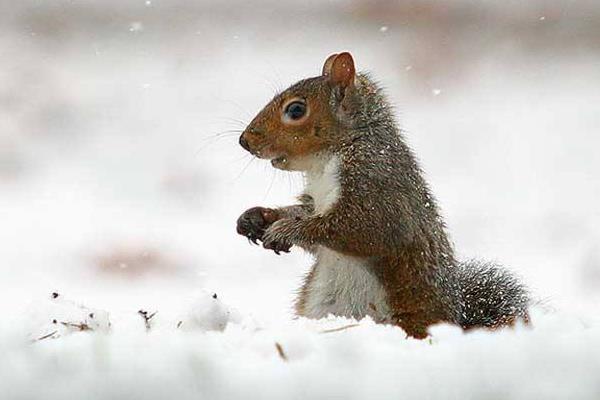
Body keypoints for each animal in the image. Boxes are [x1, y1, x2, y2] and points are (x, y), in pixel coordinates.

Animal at [236, 51, 528, 340]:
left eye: (296, 110)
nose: (244, 141)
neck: (327, 160)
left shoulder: (376, 184)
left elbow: (360, 230)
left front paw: (287, 230)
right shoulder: (315, 199)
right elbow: (305, 214)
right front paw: (258, 217)